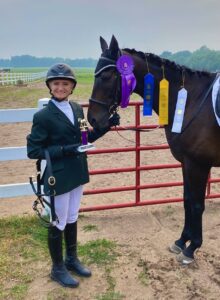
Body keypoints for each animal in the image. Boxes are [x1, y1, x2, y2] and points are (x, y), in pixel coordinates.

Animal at [87, 35, 220, 264]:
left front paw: (192, 248)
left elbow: (197, 205)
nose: (93, 119)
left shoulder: (199, 165)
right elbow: (187, 200)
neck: (191, 101)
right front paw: (181, 241)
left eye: (106, 75)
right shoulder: (186, 163)